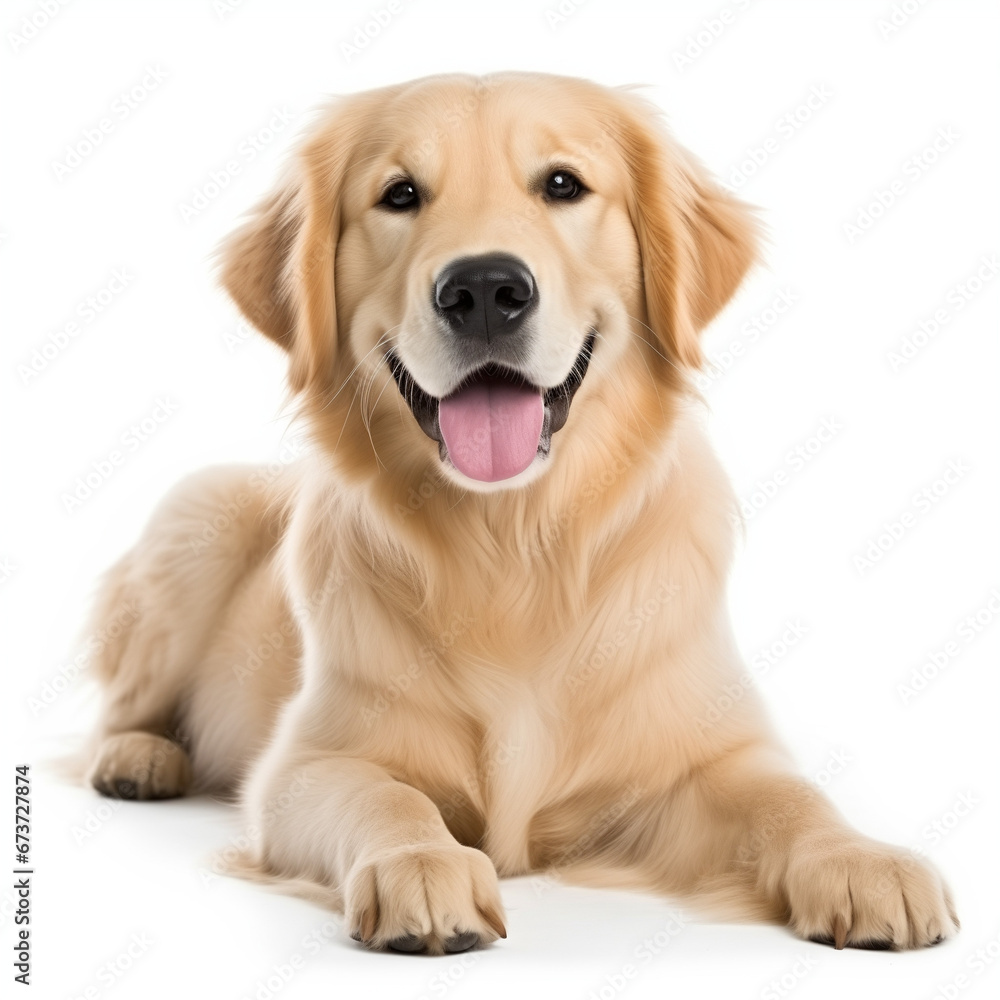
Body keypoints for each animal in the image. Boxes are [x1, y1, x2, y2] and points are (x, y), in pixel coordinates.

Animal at [82, 72, 956, 952]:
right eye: (399, 194)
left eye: (563, 185)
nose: (482, 292)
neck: (515, 541)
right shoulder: (305, 766)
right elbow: (386, 794)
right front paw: (420, 864)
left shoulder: (702, 757)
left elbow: (788, 795)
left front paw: (862, 860)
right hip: (197, 518)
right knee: (118, 707)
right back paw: (137, 758)